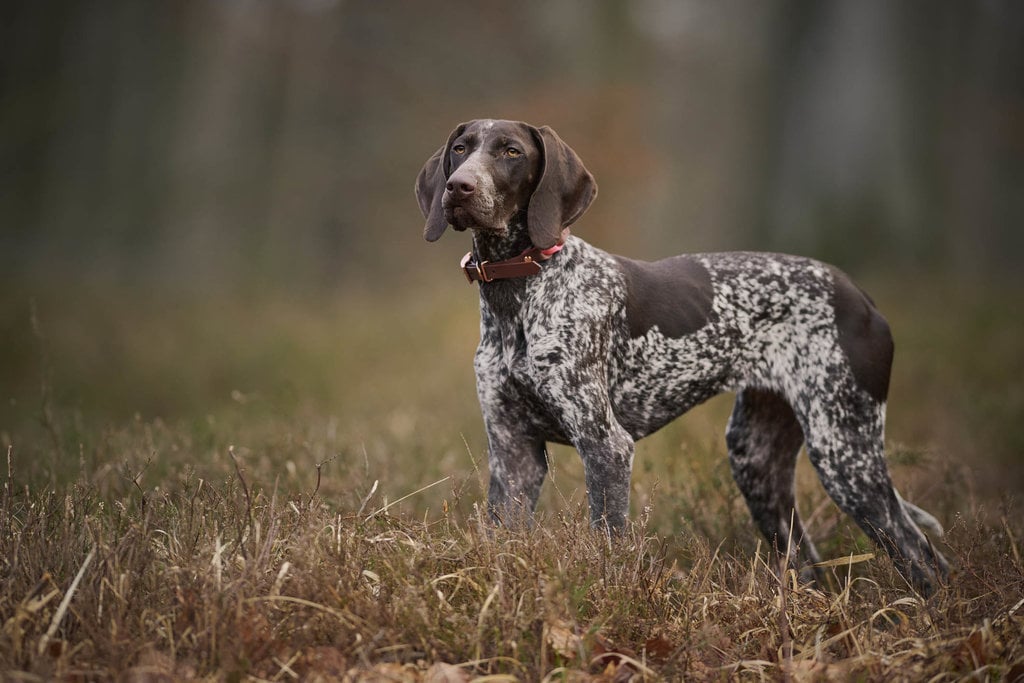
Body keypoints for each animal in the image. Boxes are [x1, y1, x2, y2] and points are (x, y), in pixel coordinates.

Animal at [415, 117, 950, 593]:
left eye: (511, 152)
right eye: (461, 149)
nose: (459, 187)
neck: (518, 295)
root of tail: (860, 295)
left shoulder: (606, 446)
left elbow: (607, 545)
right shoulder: (514, 453)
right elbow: (501, 541)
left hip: (844, 451)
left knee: (923, 557)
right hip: (757, 460)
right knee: (810, 563)